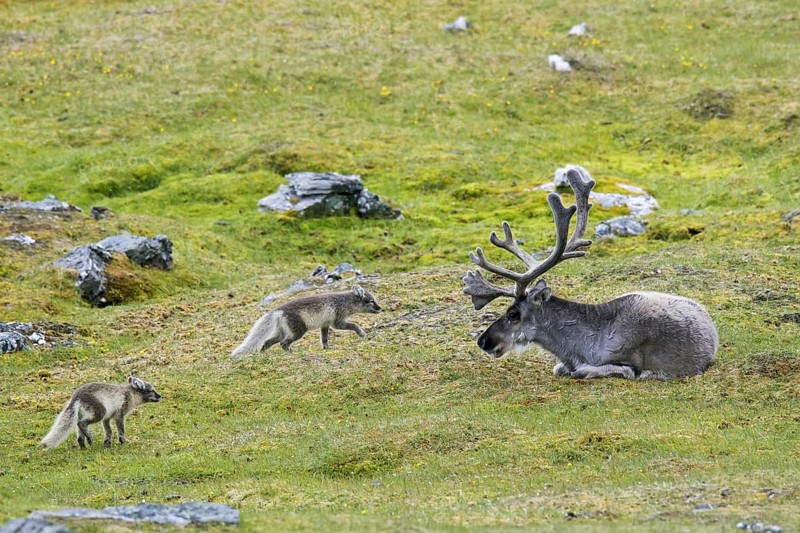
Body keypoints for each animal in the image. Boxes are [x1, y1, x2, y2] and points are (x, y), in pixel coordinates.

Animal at [231, 284, 382, 358]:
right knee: (283, 343)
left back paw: (263, 354)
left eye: (375, 300)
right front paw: (361, 333)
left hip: (283, 331)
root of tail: (277, 310)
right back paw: (291, 352)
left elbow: (324, 338)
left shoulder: (325, 324)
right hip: (298, 331)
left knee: (267, 342)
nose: (381, 309)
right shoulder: (337, 321)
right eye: (371, 301)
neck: (345, 301)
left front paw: (327, 348)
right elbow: (353, 325)